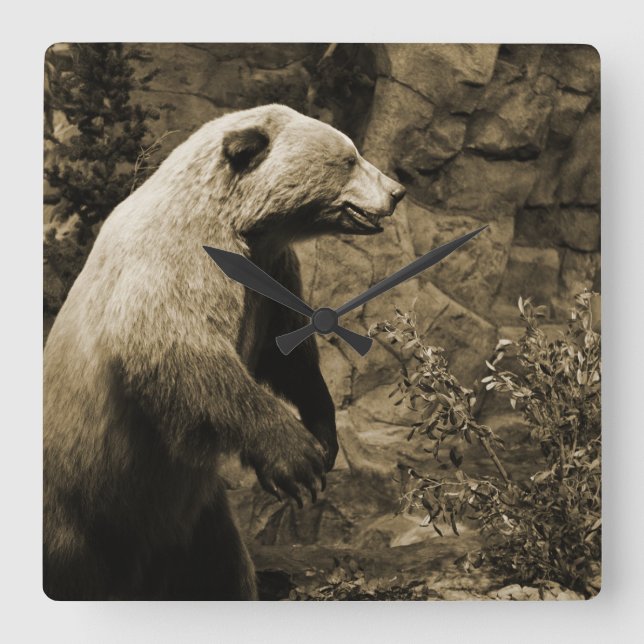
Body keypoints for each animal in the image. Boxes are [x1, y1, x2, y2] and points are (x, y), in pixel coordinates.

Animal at [43, 104, 405, 600]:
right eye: (349, 158)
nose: (397, 191)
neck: (243, 224)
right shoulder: (176, 260)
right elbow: (181, 349)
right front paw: (297, 459)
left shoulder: (272, 275)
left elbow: (288, 354)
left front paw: (324, 435)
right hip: (80, 509)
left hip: (194, 518)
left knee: (217, 569)